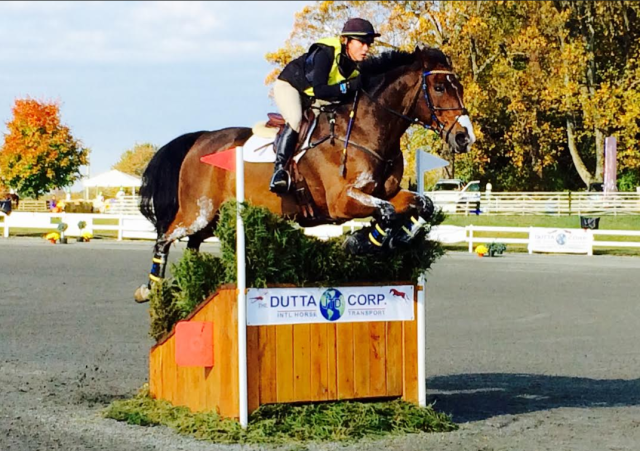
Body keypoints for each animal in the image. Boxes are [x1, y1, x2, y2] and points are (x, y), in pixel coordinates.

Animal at [134, 45, 476, 304]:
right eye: (440, 87)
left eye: (458, 87)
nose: (464, 138)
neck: (366, 129)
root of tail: (200, 139)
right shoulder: (341, 202)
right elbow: (388, 211)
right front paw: (361, 242)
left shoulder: (386, 192)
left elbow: (421, 205)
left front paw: (386, 239)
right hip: (198, 211)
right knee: (165, 237)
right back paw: (149, 290)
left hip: (212, 217)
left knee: (192, 243)